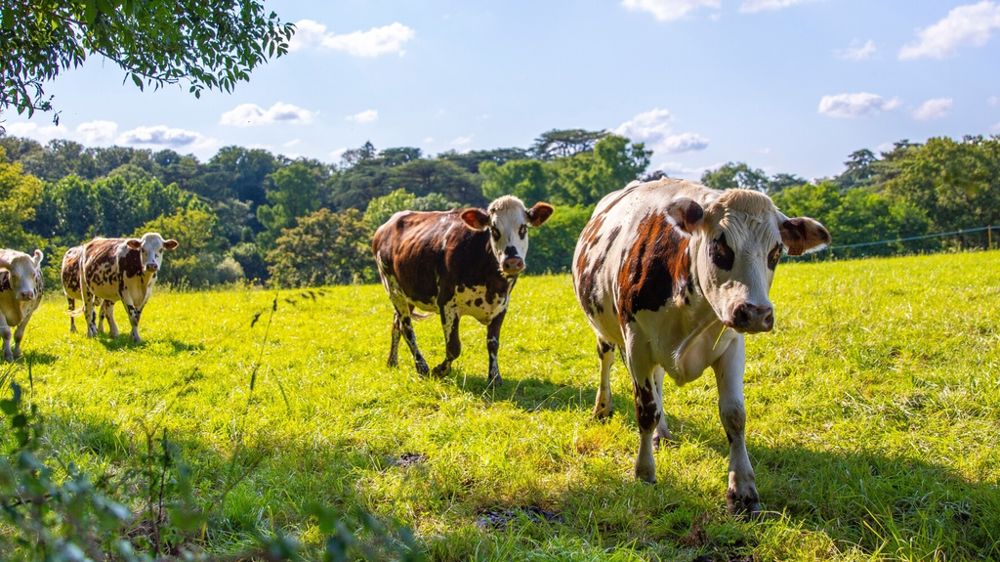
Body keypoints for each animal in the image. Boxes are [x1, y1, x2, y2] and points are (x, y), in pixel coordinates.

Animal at [372, 196, 554, 386]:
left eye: (523, 228)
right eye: (494, 230)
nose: (512, 262)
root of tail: (386, 225)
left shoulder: (502, 305)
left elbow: (493, 343)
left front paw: (494, 377)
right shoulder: (447, 303)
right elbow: (453, 347)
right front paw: (440, 370)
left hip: (409, 295)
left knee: (396, 325)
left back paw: (392, 362)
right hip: (393, 290)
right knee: (407, 329)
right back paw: (422, 367)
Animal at [572, 178, 829, 515]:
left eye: (775, 252)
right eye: (720, 245)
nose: (756, 313)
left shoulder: (732, 345)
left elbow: (734, 415)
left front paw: (743, 490)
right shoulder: (637, 344)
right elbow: (645, 410)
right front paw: (644, 471)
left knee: (658, 381)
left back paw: (663, 433)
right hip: (606, 332)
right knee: (607, 361)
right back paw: (603, 408)